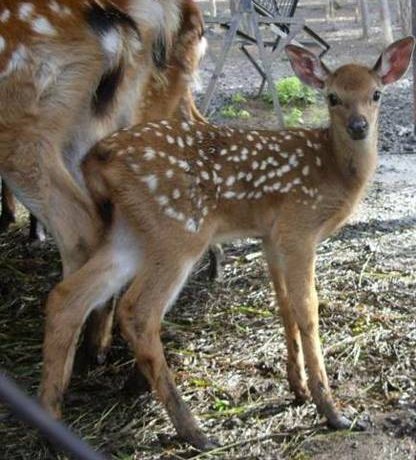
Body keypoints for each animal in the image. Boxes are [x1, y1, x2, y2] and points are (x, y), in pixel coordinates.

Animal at [39, 38, 412, 450]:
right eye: (332, 97)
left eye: (376, 94)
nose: (359, 126)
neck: (334, 172)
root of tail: (97, 158)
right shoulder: (299, 229)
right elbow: (308, 311)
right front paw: (331, 410)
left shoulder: (270, 237)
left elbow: (284, 307)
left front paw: (297, 388)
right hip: (179, 230)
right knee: (137, 311)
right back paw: (195, 432)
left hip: (130, 234)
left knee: (66, 297)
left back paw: (51, 420)